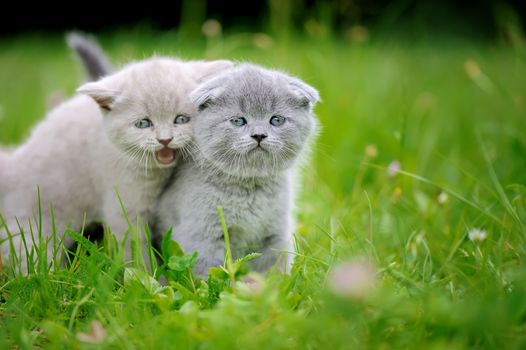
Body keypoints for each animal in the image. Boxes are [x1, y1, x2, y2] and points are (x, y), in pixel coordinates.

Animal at [0, 56, 231, 268]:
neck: (158, 175)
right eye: (143, 123)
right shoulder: (124, 207)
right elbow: (136, 251)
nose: (165, 139)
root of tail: (14, 163)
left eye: (181, 119)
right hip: (35, 223)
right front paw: (149, 276)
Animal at [156, 63, 322, 276]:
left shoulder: (276, 232)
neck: (250, 188)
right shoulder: (202, 235)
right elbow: (208, 271)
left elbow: (273, 269)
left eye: (276, 120)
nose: (259, 135)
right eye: (238, 121)